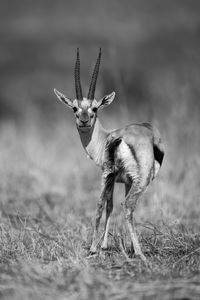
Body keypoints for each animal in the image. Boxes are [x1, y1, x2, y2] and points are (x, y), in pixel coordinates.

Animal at [54, 48, 165, 262]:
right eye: (75, 108)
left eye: (95, 108)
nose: (84, 121)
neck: (105, 137)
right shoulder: (125, 180)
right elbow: (111, 206)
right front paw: (120, 247)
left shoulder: (110, 175)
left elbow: (106, 205)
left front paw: (101, 247)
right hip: (135, 180)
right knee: (127, 206)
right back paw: (133, 251)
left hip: (126, 177)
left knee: (120, 205)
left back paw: (135, 253)